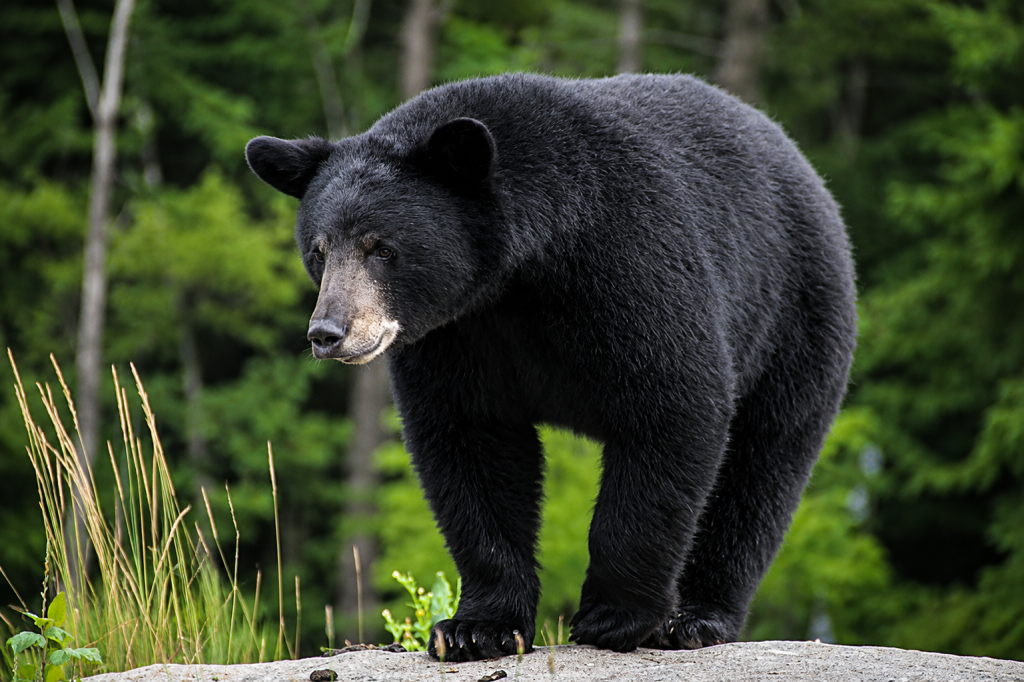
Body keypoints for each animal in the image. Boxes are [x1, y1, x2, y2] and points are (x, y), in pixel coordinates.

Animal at [245, 73, 857, 662]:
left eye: (383, 248)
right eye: (319, 250)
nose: (328, 333)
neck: (521, 273)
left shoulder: (632, 262)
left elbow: (672, 405)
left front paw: (615, 617)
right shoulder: (458, 337)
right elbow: (471, 445)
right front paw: (475, 629)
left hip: (793, 318)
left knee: (761, 468)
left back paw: (696, 617)